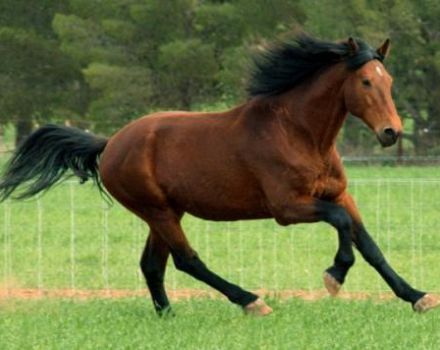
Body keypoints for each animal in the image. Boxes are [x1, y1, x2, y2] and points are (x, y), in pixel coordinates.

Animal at [0, 34, 436, 316]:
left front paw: (417, 296)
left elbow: (370, 245)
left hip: (165, 213)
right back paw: (251, 301)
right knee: (187, 260)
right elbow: (343, 226)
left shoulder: (340, 195)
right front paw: (334, 275)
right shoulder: (288, 208)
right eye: (365, 81)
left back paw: (168, 315)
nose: (391, 132)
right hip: (158, 211)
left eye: (389, 81)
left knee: (153, 265)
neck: (299, 133)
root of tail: (110, 143)